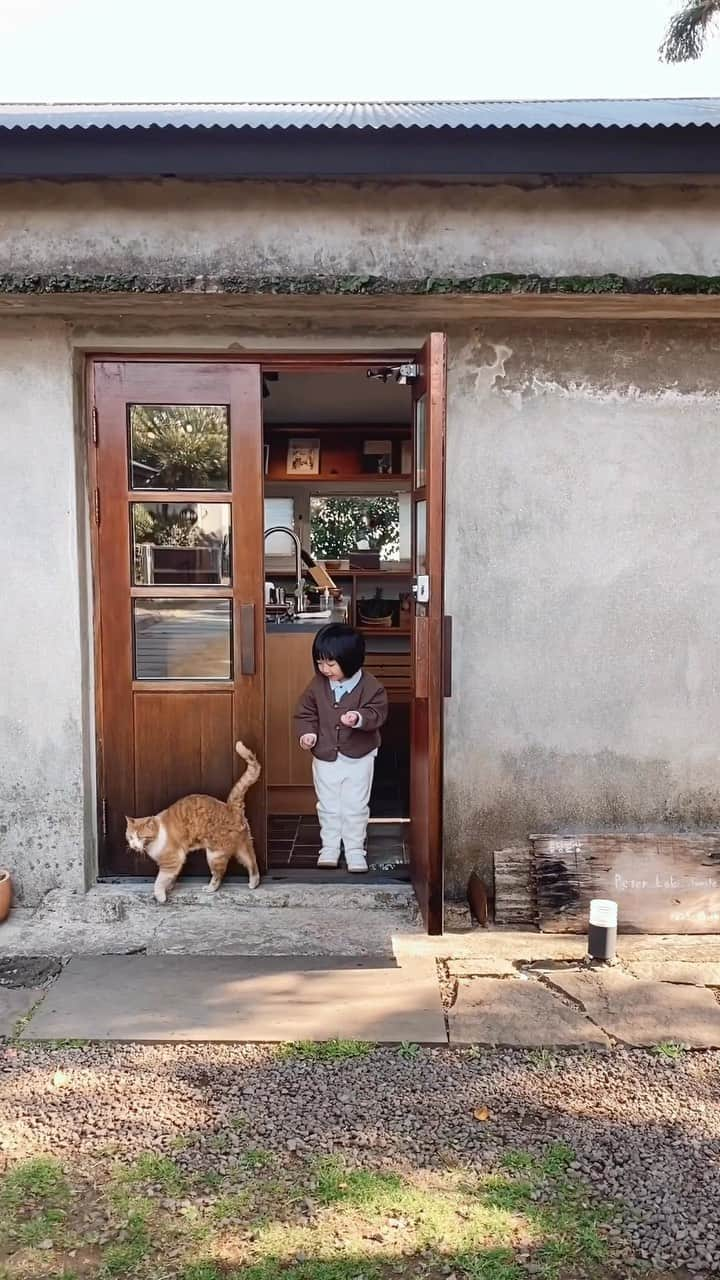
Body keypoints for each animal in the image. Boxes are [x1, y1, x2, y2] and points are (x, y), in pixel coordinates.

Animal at [125, 737, 260, 906]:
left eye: (141, 837)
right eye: (130, 837)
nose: (134, 845)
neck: (154, 839)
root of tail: (230, 807)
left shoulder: (172, 861)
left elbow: (160, 881)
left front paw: (160, 896)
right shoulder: (175, 863)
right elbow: (170, 879)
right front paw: (170, 888)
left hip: (215, 854)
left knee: (219, 874)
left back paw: (210, 888)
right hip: (243, 846)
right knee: (252, 862)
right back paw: (254, 882)